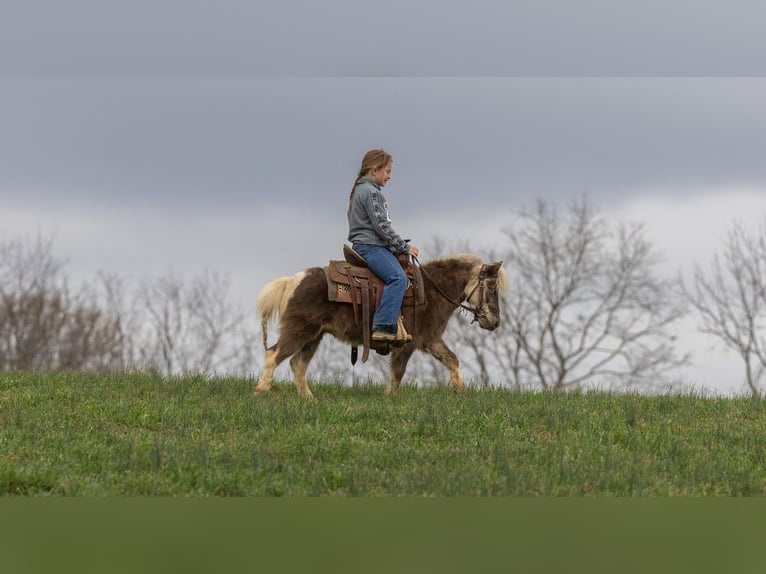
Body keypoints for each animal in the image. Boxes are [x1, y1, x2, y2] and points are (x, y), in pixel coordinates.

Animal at [254, 253, 508, 398]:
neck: (431, 289)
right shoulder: (409, 342)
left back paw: (309, 398)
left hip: (313, 336)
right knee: (274, 354)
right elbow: (398, 372)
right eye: (492, 287)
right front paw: (391, 398)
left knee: (297, 364)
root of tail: (293, 281)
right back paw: (261, 391)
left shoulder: (430, 339)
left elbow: (452, 359)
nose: (495, 322)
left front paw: (460, 390)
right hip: (299, 330)